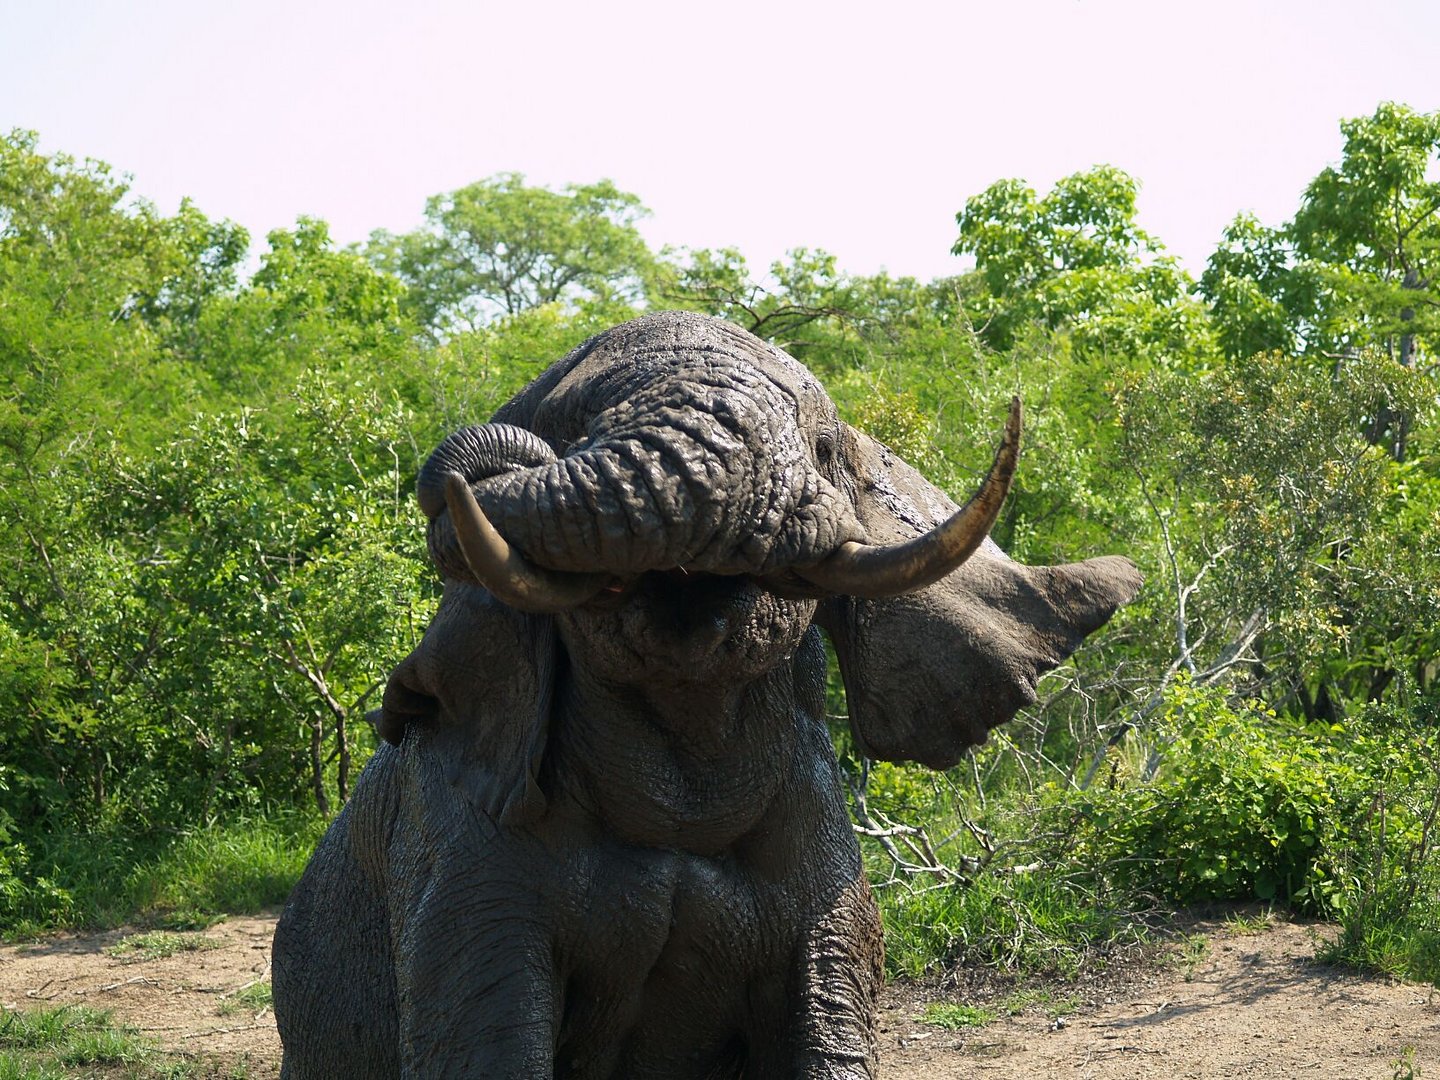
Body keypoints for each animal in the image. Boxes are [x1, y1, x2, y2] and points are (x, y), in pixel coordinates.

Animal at [272, 308, 1134, 1077]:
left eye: (824, 448)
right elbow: (485, 1049)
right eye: (567, 424)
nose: (476, 467)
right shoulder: (450, 849)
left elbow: (828, 1040)